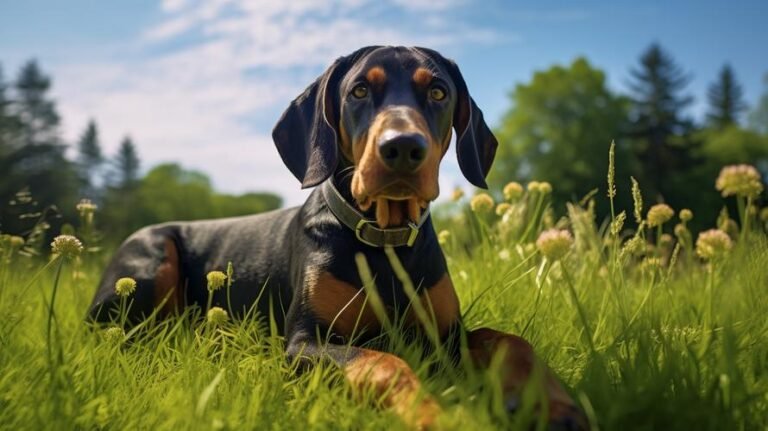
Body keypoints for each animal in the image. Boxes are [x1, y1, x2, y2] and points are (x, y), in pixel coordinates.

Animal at [87, 45, 584, 430]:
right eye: (359, 90)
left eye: (438, 92)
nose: (402, 147)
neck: (384, 241)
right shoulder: (305, 342)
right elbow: (383, 362)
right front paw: (433, 413)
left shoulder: (446, 335)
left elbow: (509, 340)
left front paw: (556, 405)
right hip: (152, 259)